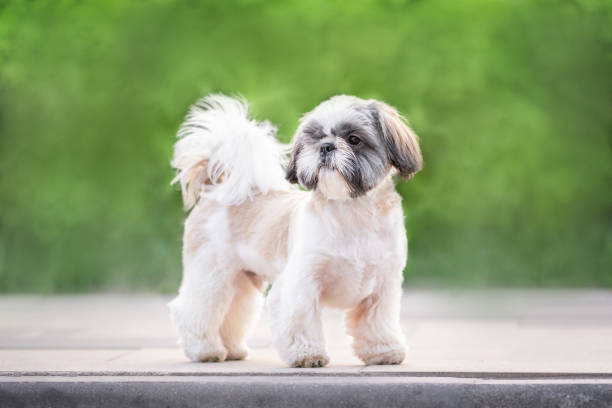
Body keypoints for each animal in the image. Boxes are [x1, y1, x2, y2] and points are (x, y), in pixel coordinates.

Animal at [170, 94, 424, 368]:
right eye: (314, 138)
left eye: (354, 139)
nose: (326, 146)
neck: (353, 214)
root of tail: (217, 188)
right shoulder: (300, 284)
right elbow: (300, 319)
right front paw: (307, 354)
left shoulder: (382, 287)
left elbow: (378, 321)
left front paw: (383, 350)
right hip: (212, 273)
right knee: (195, 310)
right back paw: (204, 349)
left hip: (240, 281)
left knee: (233, 312)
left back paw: (232, 349)